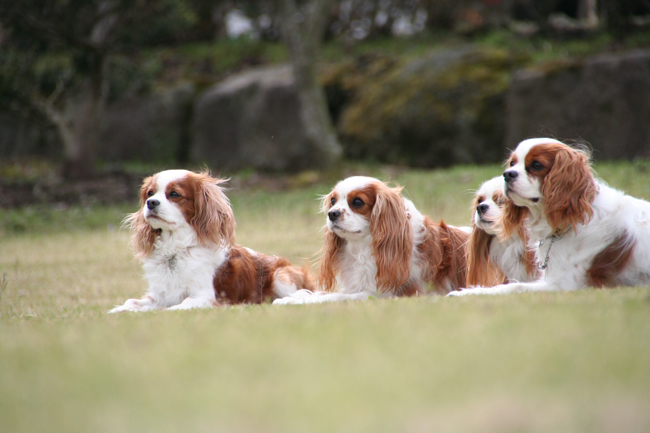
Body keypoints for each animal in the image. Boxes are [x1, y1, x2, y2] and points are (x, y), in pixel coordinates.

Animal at [110, 168, 312, 310]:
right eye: (150, 194)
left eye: (174, 194)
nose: (150, 203)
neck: (175, 250)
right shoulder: (160, 295)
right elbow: (131, 302)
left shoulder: (206, 296)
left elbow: (183, 304)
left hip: (281, 276)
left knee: (304, 293)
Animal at [272, 176, 466, 304]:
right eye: (333, 201)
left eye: (357, 202)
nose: (332, 213)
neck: (362, 247)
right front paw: (298, 295)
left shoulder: (382, 293)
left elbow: (332, 296)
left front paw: (297, 300)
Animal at [448, 138, 648, 296]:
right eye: (512, 164)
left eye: (537, 165)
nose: (507, 174)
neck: (570, 220)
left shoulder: (562, 284)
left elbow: (513, 287)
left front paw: (465, 293)